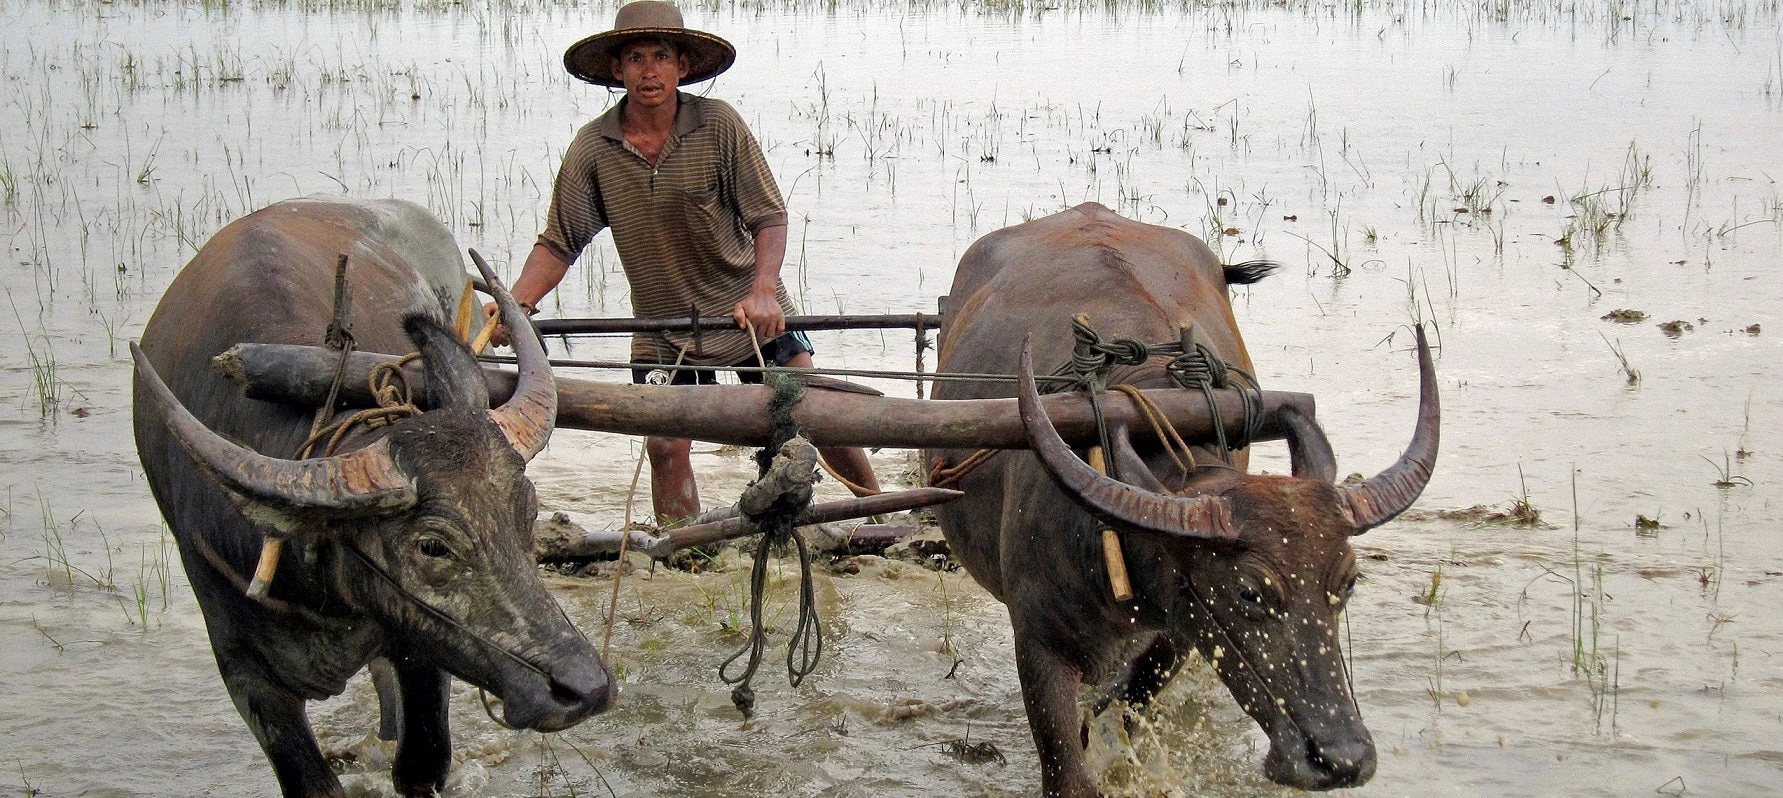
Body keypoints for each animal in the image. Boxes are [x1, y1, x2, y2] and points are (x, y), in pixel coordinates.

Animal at [129, 195, 609, 798]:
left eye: (529, 515)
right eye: (432, 547)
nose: (585, 687)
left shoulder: (419, 648)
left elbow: (422, 762)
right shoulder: (243, 671)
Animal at [927, 203, 1440, 794]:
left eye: (1348, 581)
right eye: (1248, 592)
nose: (1341, 757)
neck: (1108, 543)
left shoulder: (1178, 633)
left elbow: (1124, 706)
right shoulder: (1037, 641)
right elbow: (1068, 767)